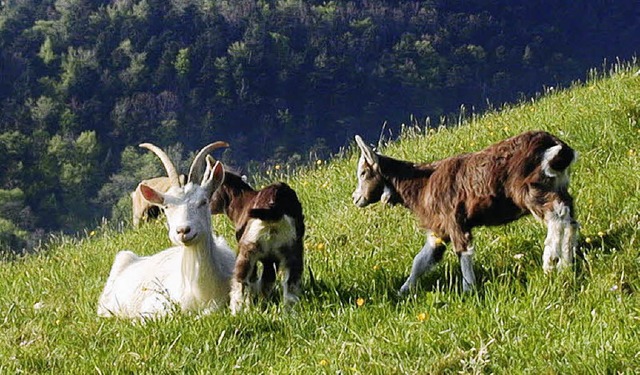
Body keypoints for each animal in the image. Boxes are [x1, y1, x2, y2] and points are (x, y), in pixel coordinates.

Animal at [210, 172, 304, 312]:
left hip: (248, 247)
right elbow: (267, 280)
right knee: (291, 283)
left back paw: (237, 310)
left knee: (241, 280)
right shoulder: (271, 259)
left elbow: (253, 280)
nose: (208, 206)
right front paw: (262, 302)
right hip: (292, 248)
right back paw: (289, 311)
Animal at [352, 131, 576, 294]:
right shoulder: (439, 229)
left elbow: (463, 251)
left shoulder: (455, 220)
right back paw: (566, 263)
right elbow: (421, 260)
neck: (422, 184)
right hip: (557, 186)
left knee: (557, 215)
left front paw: (468, 290)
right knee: (570, 218)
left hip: (529, 189)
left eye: (363, 173)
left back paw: (549, 263)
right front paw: (403, 291)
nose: (355, 198)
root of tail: (555, 145)